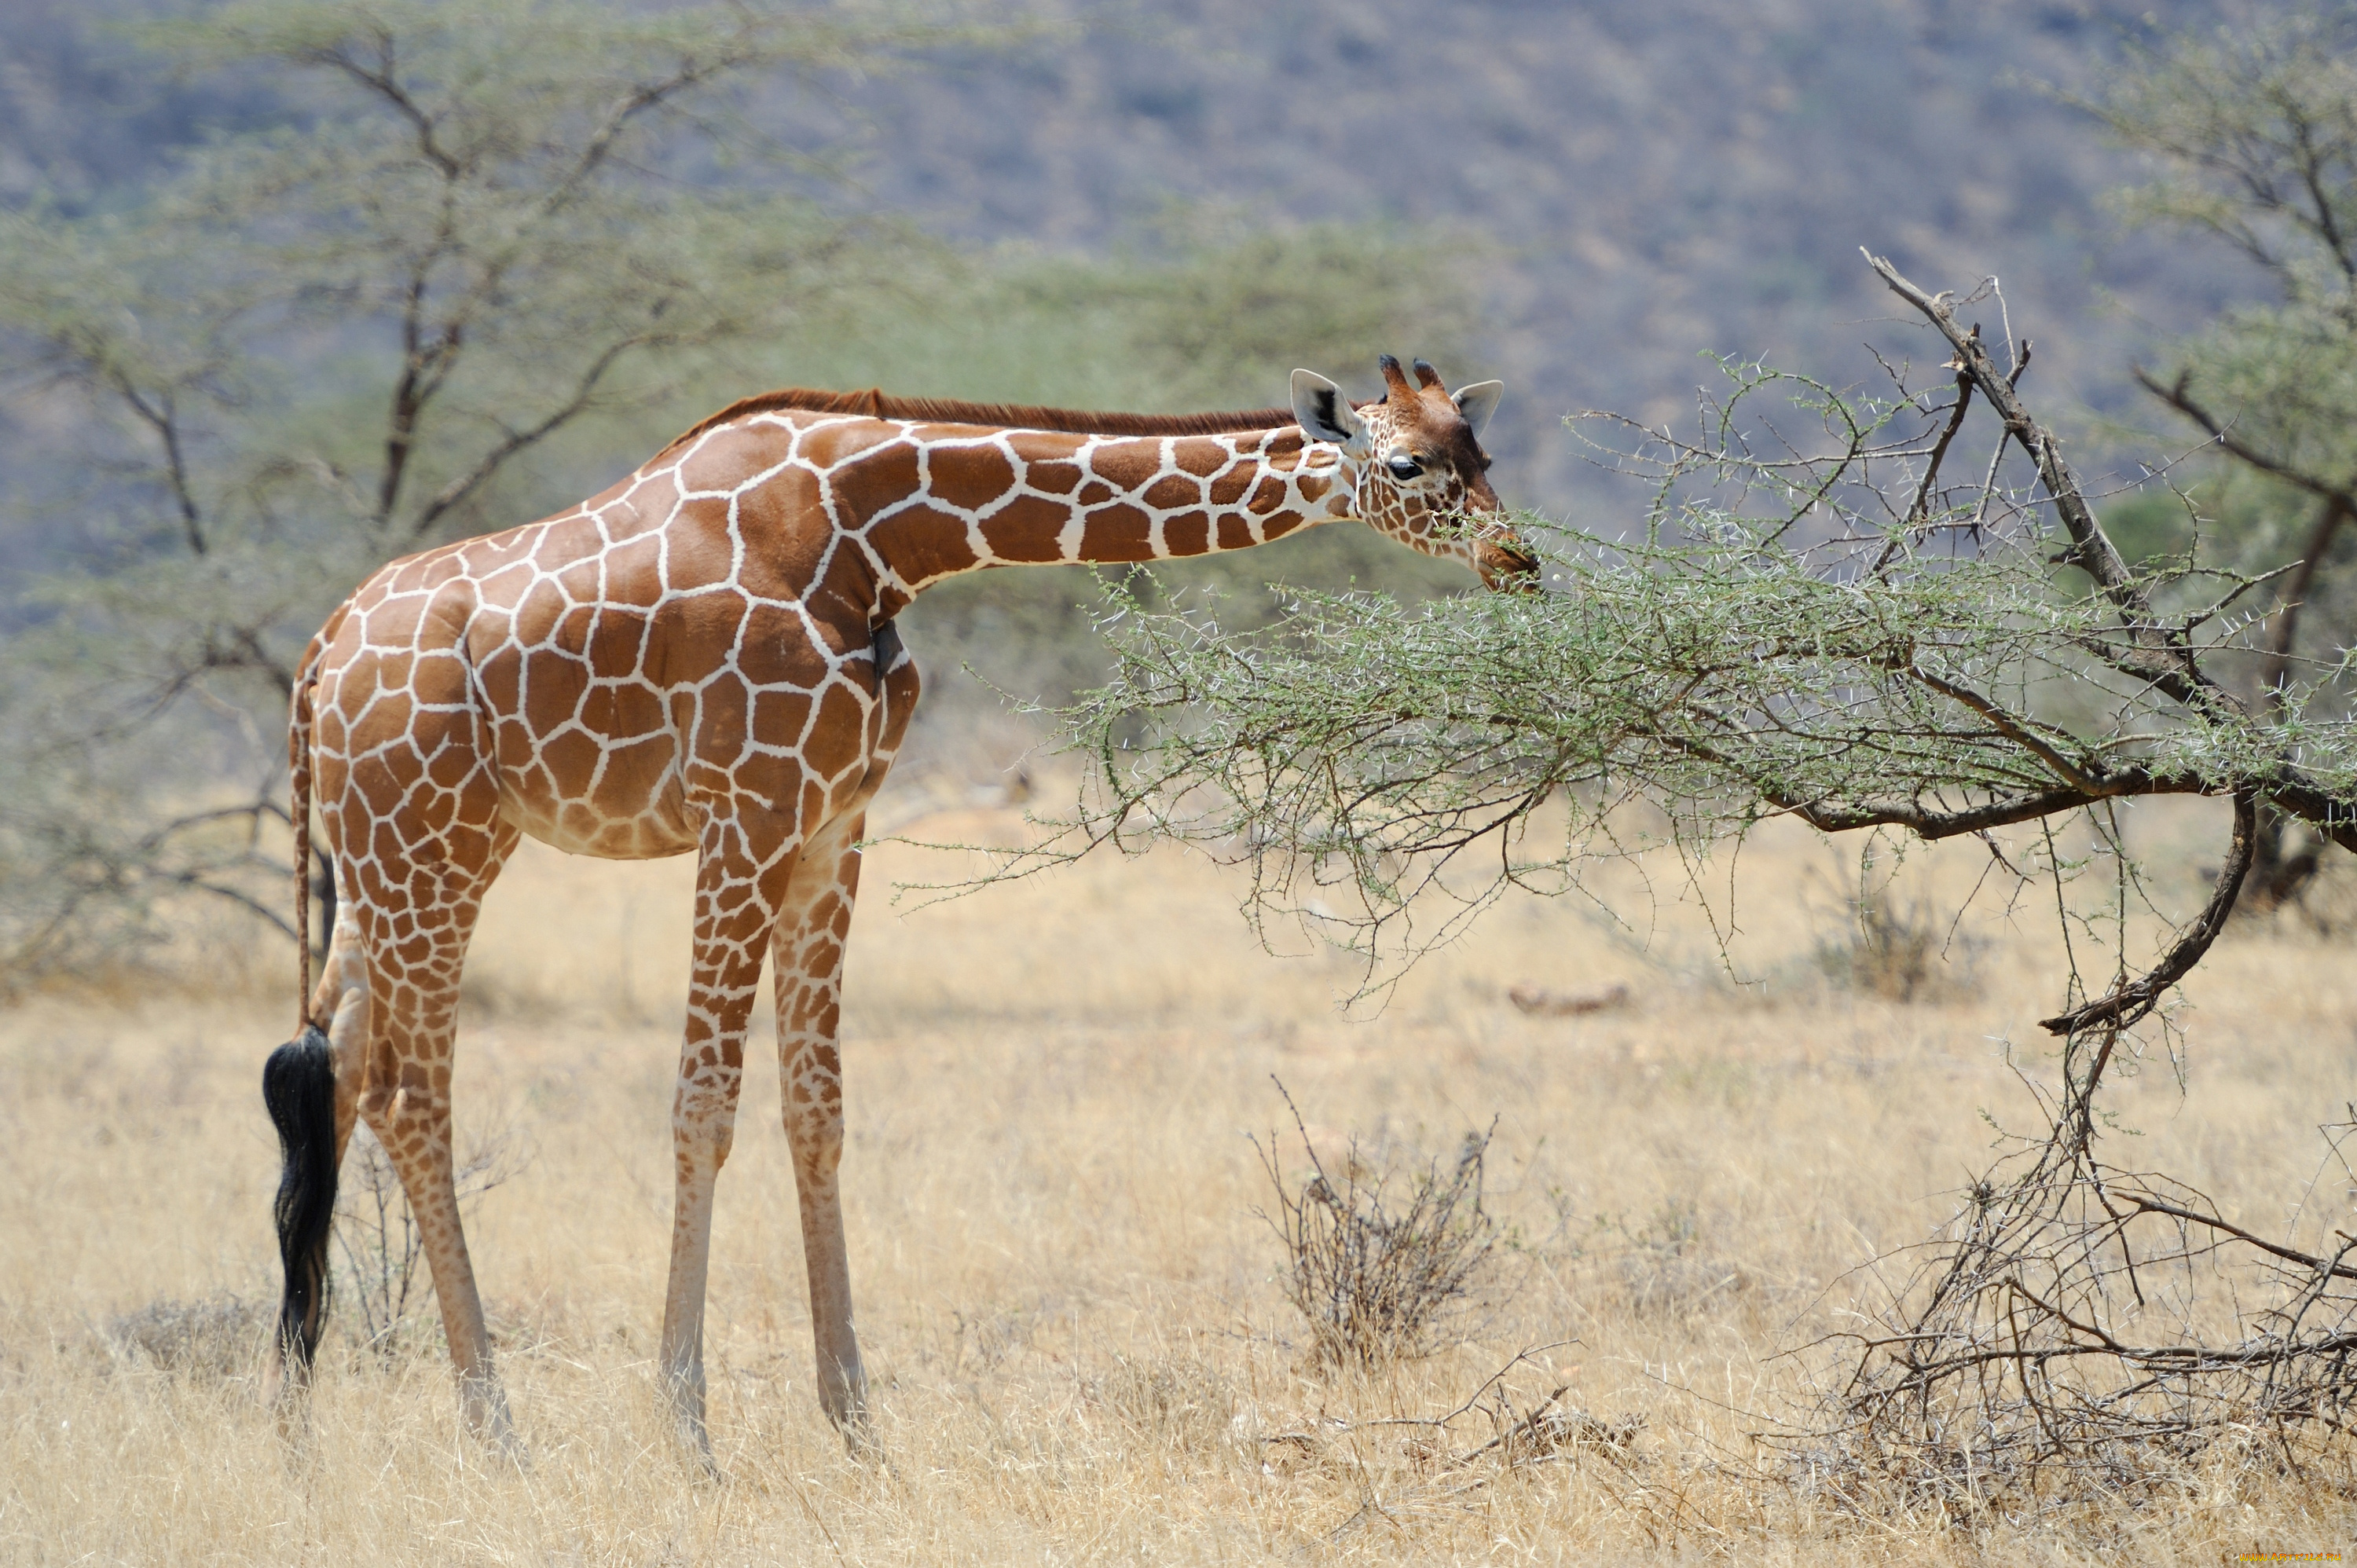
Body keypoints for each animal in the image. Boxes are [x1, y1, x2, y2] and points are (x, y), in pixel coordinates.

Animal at [267, 354, 1537, 1452]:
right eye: (1407, 466)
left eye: (1482, 451)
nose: (1518, 561)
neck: (876, 537)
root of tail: (318, 660)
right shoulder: (745, 809)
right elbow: (703, 1107)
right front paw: (688, 1430)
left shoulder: (835, 821)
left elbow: (817, 1110)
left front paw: (855, 1423)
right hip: (426, 843)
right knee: (408, 1096)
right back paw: (495, 1432)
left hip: (409, 856)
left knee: (330, 1072)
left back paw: (295, 1428)